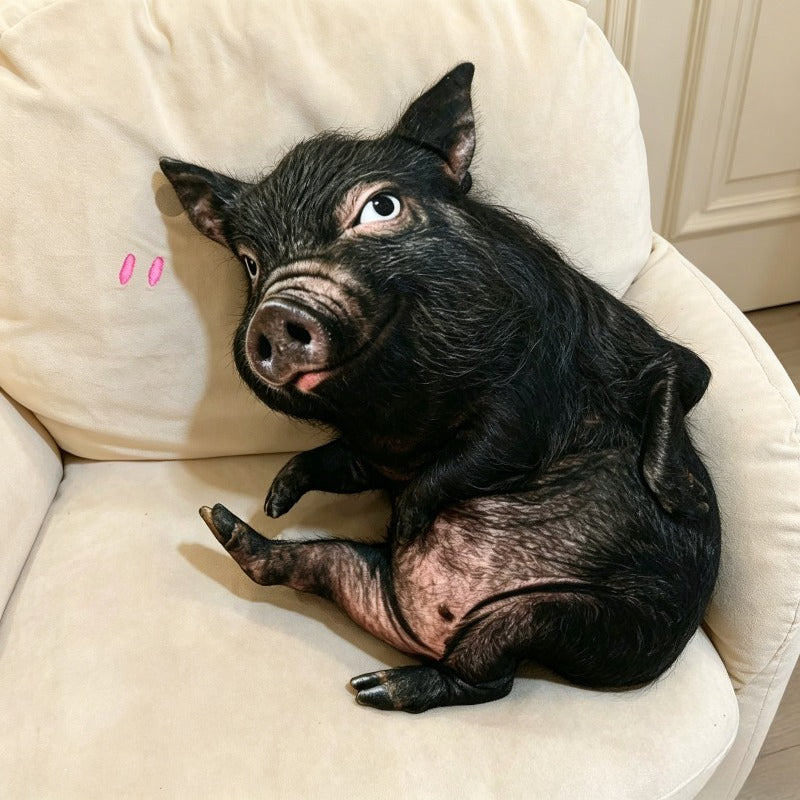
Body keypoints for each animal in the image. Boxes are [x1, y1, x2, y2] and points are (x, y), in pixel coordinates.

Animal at [159, 63, 720, 713]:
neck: (402, 412)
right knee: (314, 566)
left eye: (381, 207)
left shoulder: (531, 401)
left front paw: (408, 526)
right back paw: (228, 527)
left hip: (559, 615)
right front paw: (278, 498)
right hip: (355, 569)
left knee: (492, 681)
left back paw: (379, 685)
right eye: (250, 263)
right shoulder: (379, 454)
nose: (276, 313)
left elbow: (478, 457)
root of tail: (423, 627)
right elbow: (337, 461)